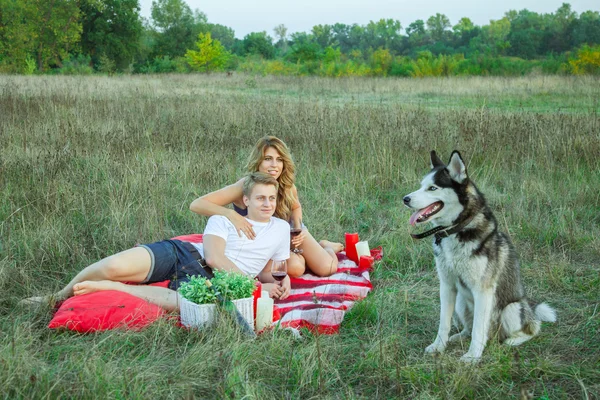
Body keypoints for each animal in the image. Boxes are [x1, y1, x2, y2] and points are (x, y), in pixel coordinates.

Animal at [406, 151, 556, 362]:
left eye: (432, 188)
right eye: (421, 185)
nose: (405, 199)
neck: (456, 230)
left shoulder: (483, 291)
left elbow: (478, 329)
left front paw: (472, 356)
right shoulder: (447, 286)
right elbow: (444, 323)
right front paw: (438, 346)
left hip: (512, 309)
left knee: (531, 329)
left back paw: (512, 340)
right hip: (461, 301)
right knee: (468, 328)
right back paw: (458, 337)